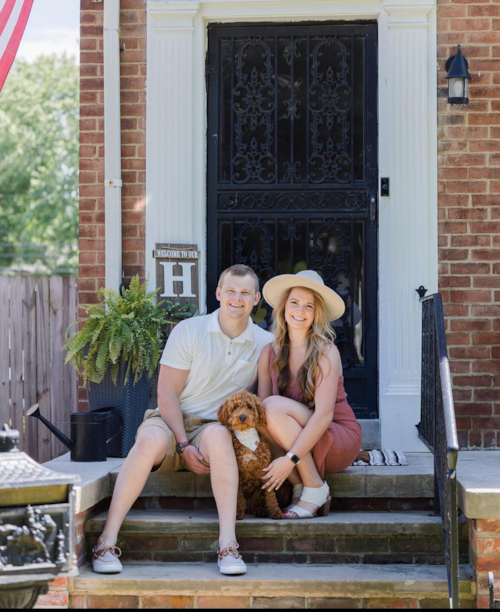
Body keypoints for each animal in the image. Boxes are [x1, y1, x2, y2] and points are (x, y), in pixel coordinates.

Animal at [216, 390, 284, 520]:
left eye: (249, 406)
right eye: (235, 407)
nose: (242, 417)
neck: (247, 438)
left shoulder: (265, 470)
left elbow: (270, 495)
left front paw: (276, 511)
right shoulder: (237, 471)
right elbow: (238, 496)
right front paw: (237, 513)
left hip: (258, 492)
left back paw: (261, 511)